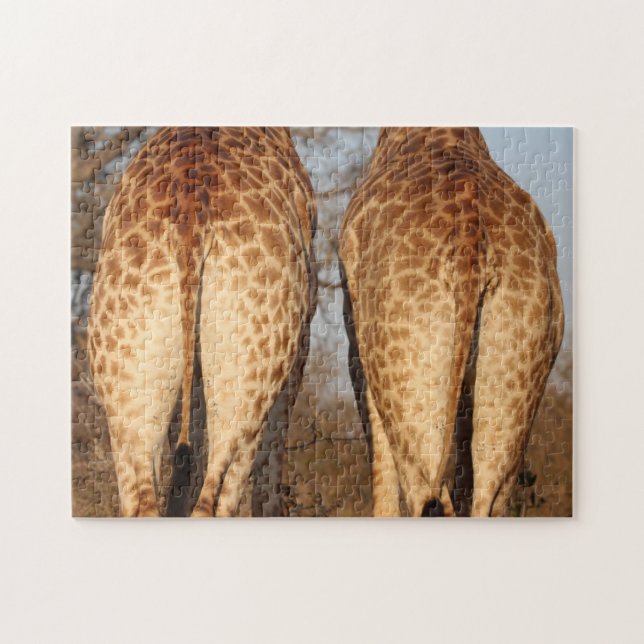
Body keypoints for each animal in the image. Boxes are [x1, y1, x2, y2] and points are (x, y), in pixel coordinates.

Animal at [88, 127, 316, 517]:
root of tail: (190, 223)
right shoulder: (300, 348)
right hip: (251, 369)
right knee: (216, 498)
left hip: (124, 380)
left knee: (142, 499)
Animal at [339, 127, 564, 517]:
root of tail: (471, 242)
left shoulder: (359, 352)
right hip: (519, 362)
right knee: (486, 496)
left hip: (409, 373)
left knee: (427, 495)